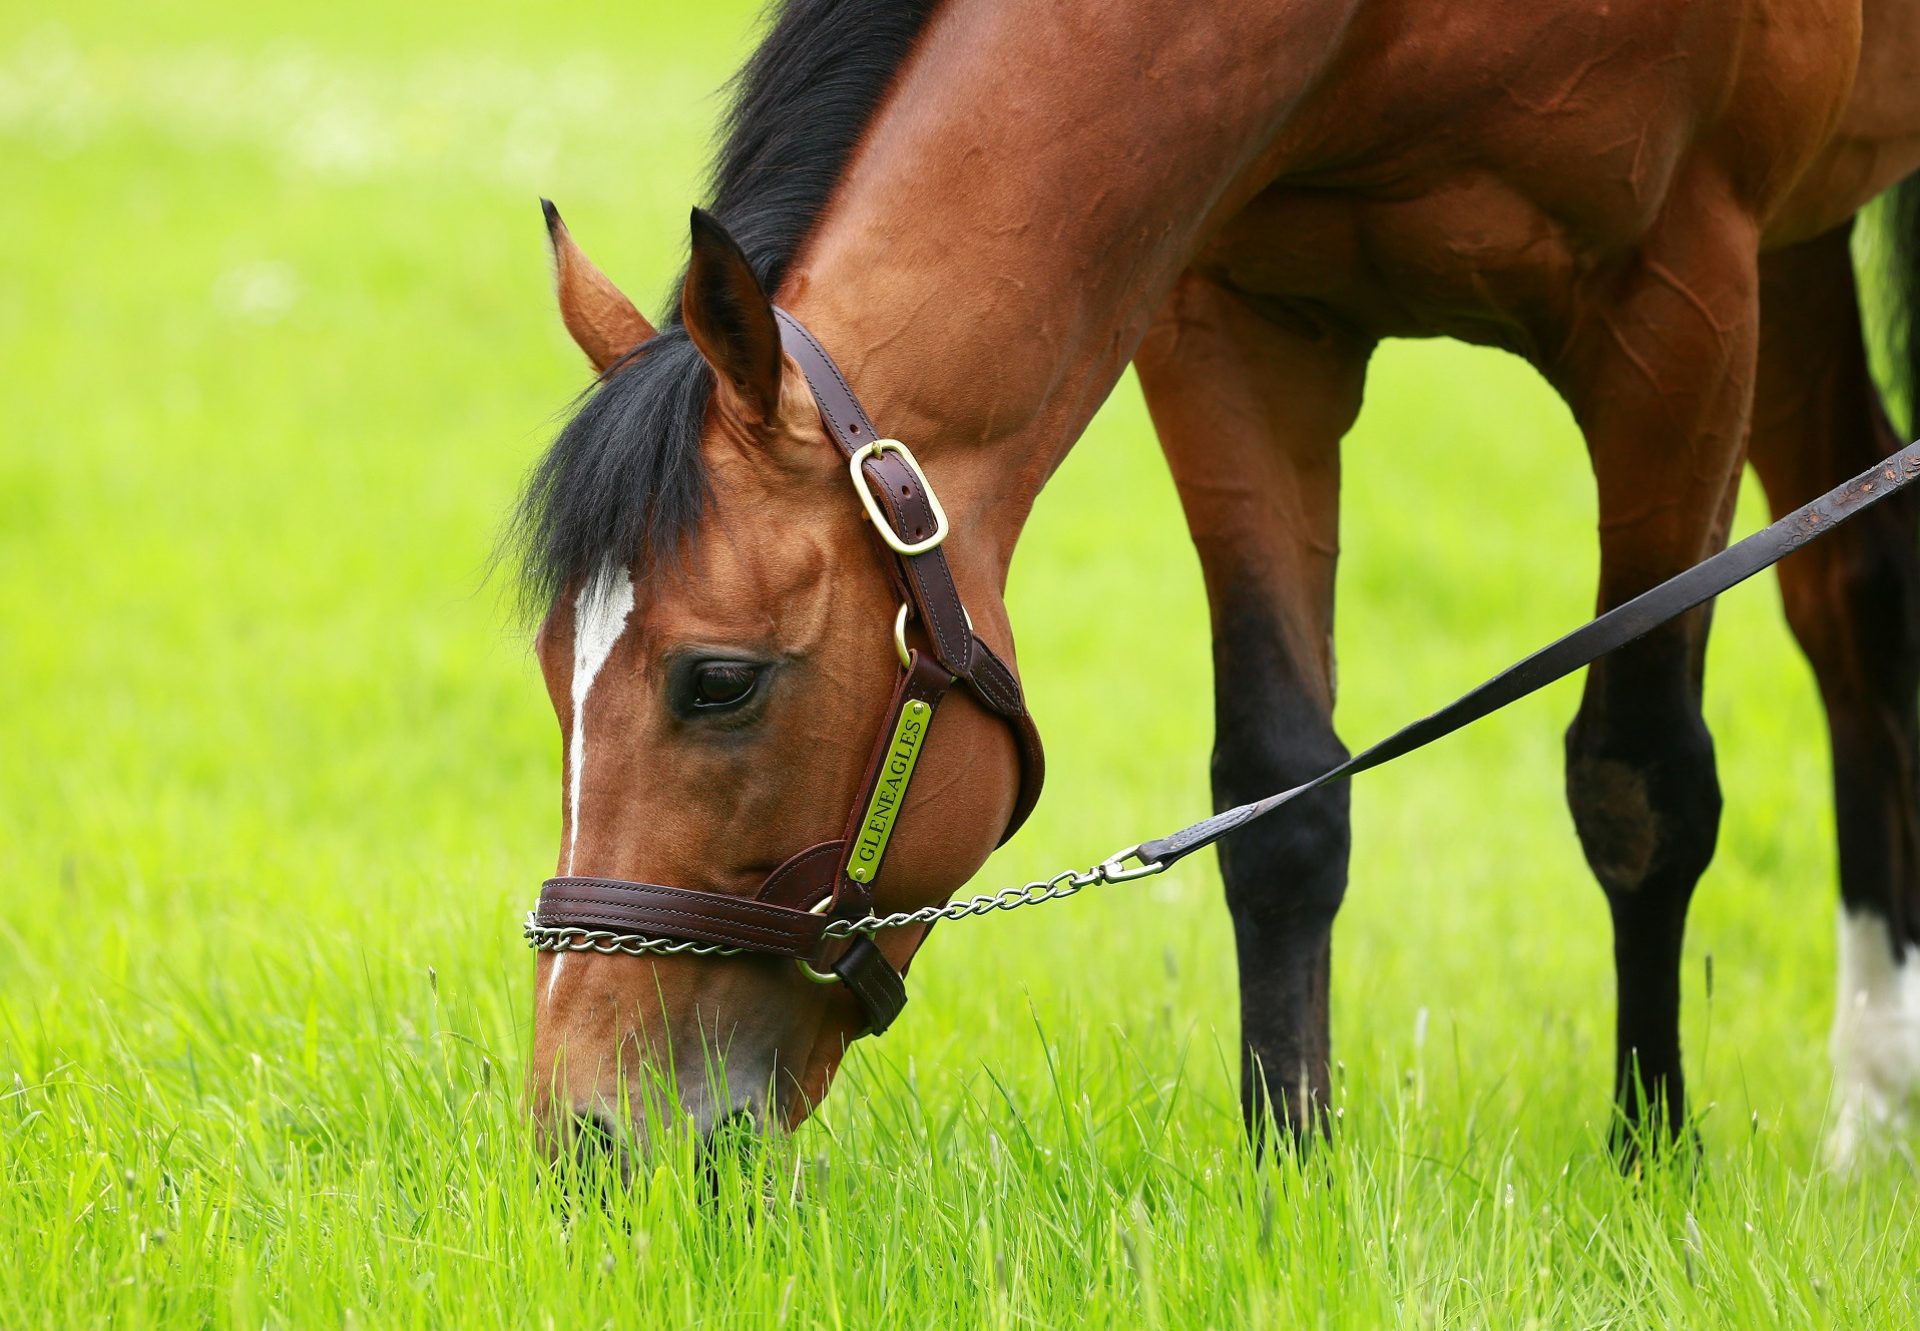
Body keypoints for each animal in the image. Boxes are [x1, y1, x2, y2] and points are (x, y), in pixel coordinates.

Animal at [514, 0, 1920, 1160]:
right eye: (551, 674)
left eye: (719, 681)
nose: (588, 1134)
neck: (1382, 28)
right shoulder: (1234, 325)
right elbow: (1280, 795)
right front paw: (1287, 1164)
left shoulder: (1679, 313)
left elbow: (1642, 783)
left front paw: (1650, 1160)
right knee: (1854, 587)